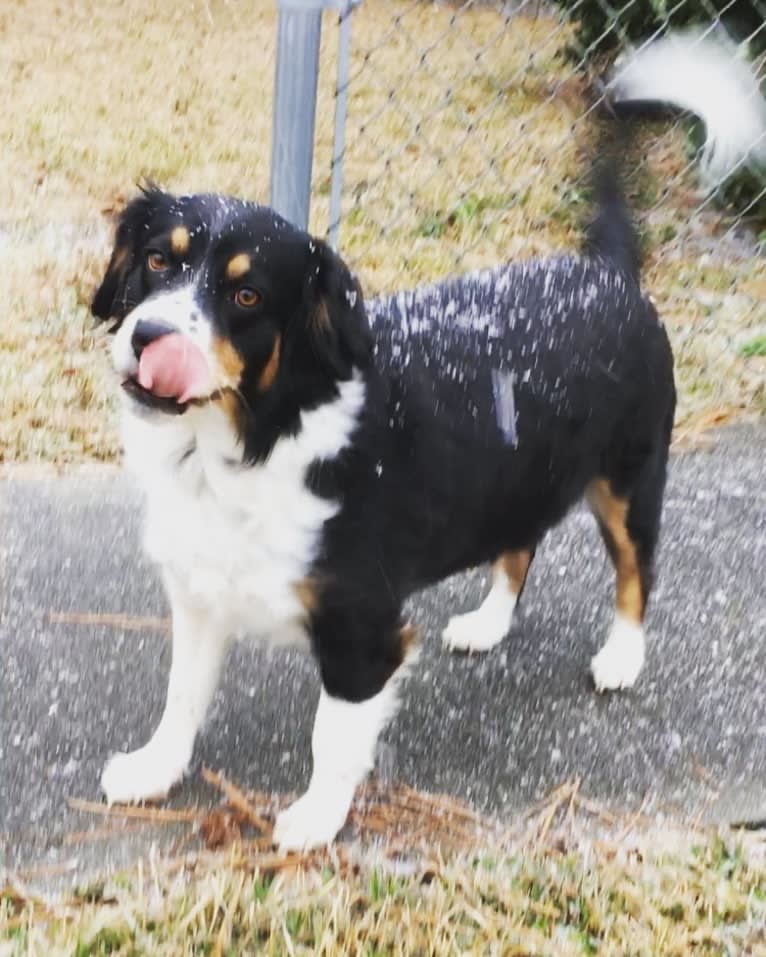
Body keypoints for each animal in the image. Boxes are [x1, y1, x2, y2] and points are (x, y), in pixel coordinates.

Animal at [93, 31, 764, 852]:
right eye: (159, 259)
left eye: (246, 295)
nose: (148, 336)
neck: (257, 438)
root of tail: (604, 270)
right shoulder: (200, 594)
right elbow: (182, 696)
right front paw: (155, 769)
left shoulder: (364, 628)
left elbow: (333, 736)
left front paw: (318, 816)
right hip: (521, 471)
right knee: (521, 542)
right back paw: (488, 623)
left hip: (629, 480)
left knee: (637, 572)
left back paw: (623, 656)